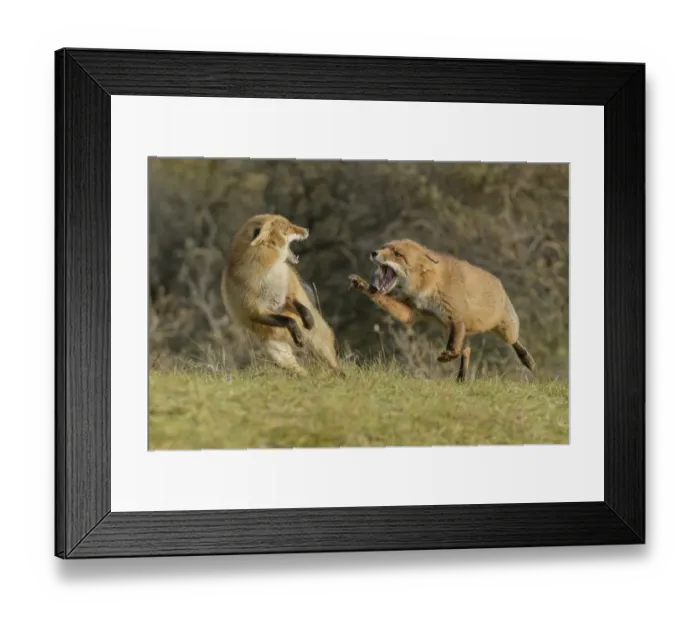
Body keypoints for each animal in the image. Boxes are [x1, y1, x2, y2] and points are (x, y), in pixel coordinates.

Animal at [221, 213, 341, 376]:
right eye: (288, 227)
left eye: (290, 224)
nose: (307, 229)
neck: (269, 274)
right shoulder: (255, 312)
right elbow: (288, 320)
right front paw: (296, 332)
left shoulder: (286, 295)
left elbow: (298, 305)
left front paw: (307, 319)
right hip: (280, 356)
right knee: (301, 371)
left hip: (319, 344)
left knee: (333, 363)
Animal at [348, 238, 536, 382]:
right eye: (384, 246)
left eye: (397, 253)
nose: (373, 252)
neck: (428, 286)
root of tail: (499, 283)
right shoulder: (411, 312)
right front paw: (363, 285)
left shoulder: (456, 316)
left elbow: (453, 348)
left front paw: (448, 356)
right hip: (452, 329)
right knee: (467, 350)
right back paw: (461, 379)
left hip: (504, 330)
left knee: (513, 341)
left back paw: (527, 359)